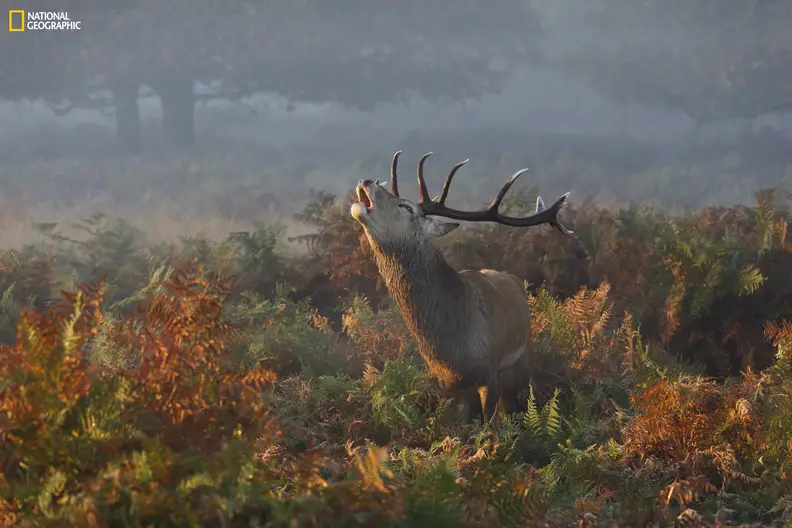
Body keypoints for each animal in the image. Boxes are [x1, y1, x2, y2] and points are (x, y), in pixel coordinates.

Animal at [350, 151, 573, 424]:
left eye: (406, 207)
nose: (366, 180)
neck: (454, 348)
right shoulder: (445, 384)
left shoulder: (489, 373)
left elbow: (489, 425)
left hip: (520, 358)